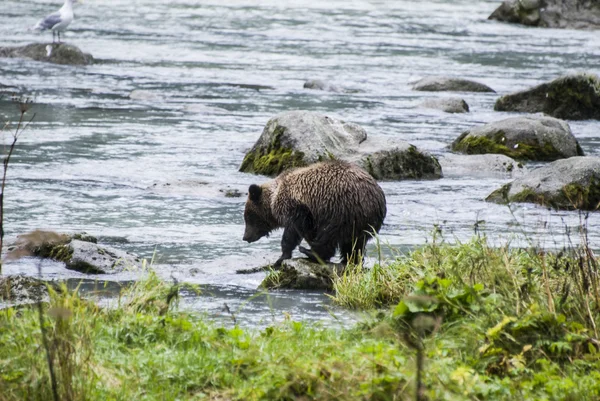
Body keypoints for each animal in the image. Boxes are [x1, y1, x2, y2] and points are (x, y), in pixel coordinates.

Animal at [241, 159, 386, 266]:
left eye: (248, 216)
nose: (245, 237)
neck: (274, 198)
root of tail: (377, 198)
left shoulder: (297, 208)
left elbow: (292, 231)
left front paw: (281, 257)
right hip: (361, 222)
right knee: (355, 244)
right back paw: (350, 261)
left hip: (342, 210)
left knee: (329, 235)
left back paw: (310, 252)